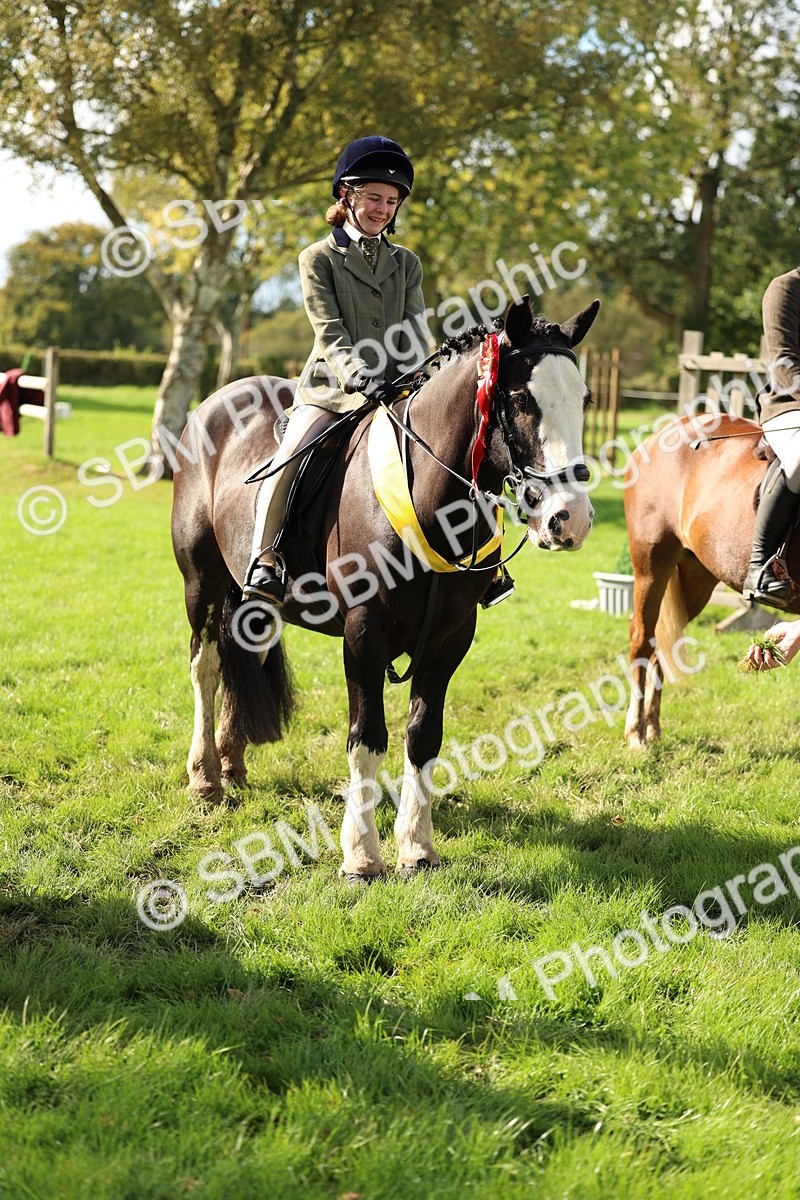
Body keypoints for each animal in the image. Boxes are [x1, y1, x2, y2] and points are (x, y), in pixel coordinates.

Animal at [171, 294, 600, 880]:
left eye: (585, 398)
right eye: (519, 399)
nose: (569, 519)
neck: (429, 496)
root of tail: (215, 403)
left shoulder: (450, 638)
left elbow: (424, 736)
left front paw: (416, 847)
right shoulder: (363, 636)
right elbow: (366, 737)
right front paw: (360, 854)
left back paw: (232, 763)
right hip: (202, 583)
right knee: (205, 665)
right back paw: (205, 777)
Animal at [623, 412, 800, 749]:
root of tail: (663, 431)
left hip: (696, 579)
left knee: (659, 643)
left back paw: (652, 726)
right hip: (651, 568)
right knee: (641, 639)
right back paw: (636, 731)